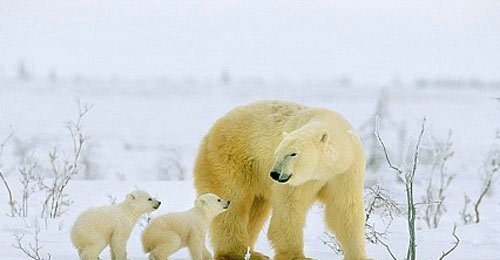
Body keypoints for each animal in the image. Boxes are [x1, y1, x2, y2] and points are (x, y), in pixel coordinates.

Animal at [193, 100, 370, 260]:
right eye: (277, 153)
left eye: (293, 153)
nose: (275, 174)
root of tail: (212, 130)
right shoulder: (299, 180)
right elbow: (290, 208)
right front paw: (297, 256)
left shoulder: (345, 172)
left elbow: (344, 209)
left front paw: (357, 254)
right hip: (230, 160)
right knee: (234, 202)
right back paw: (233, 253)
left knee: (257, 209)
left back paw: (255, 254)